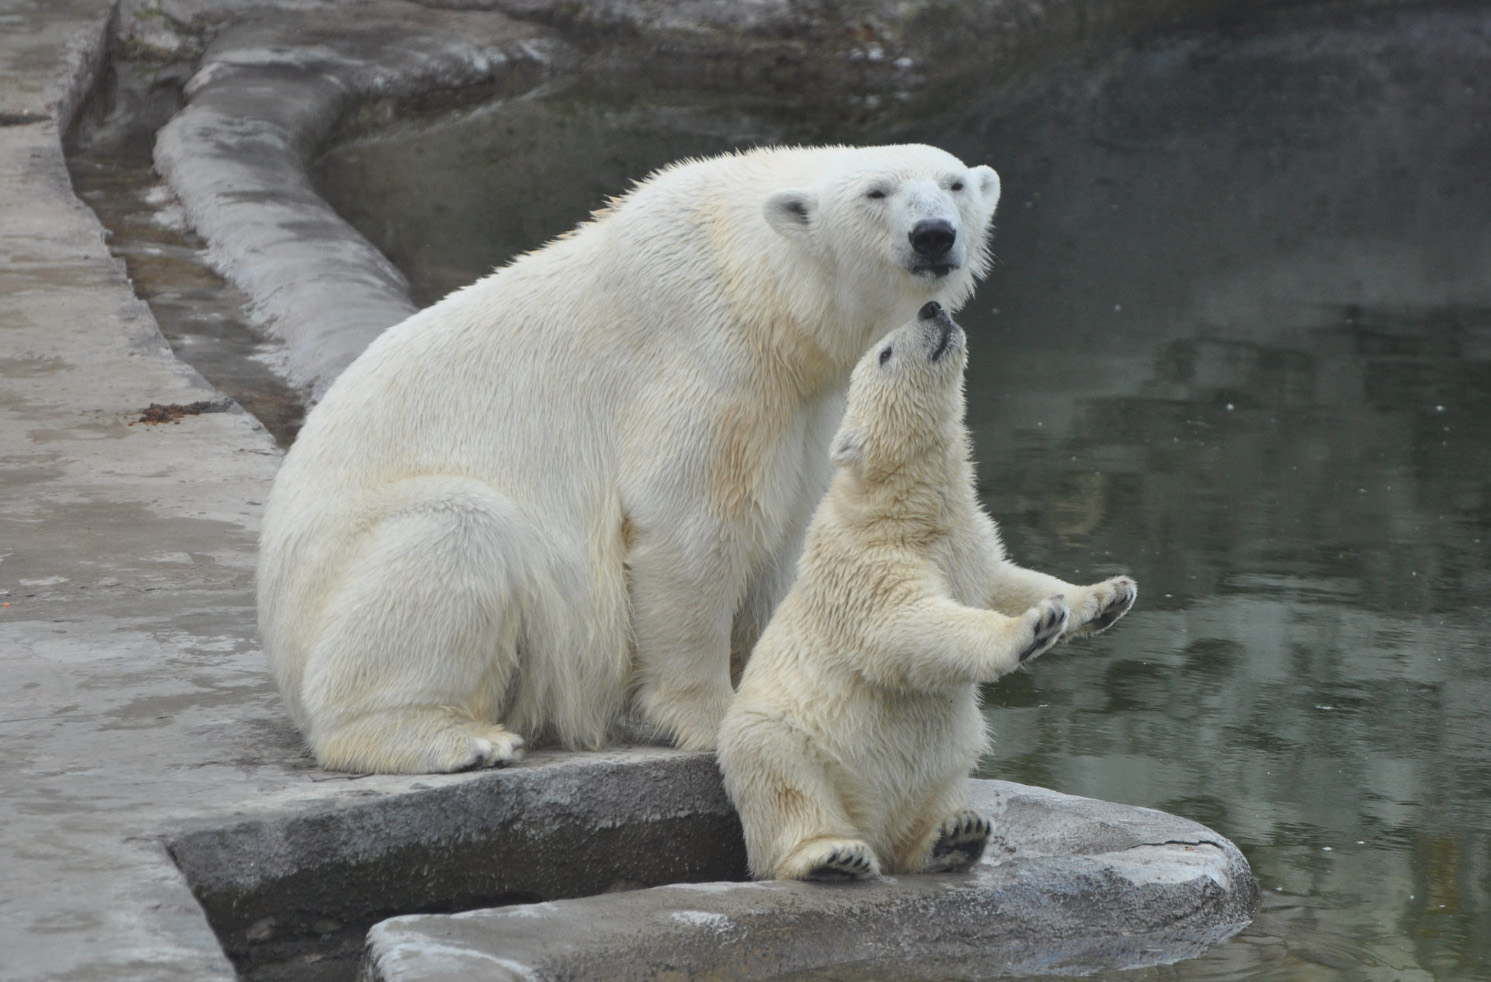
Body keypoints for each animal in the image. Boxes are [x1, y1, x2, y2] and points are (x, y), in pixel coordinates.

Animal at [256, 146, 1001, 774]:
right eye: (877, 192)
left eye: (954, 184)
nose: (933, 235)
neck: (757, 283)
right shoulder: (710, 356)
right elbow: (693, 528)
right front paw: (711, 717)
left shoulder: (807, 402)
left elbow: (790, 537)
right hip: (337, 569)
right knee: (451, 531)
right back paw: (454, 738)